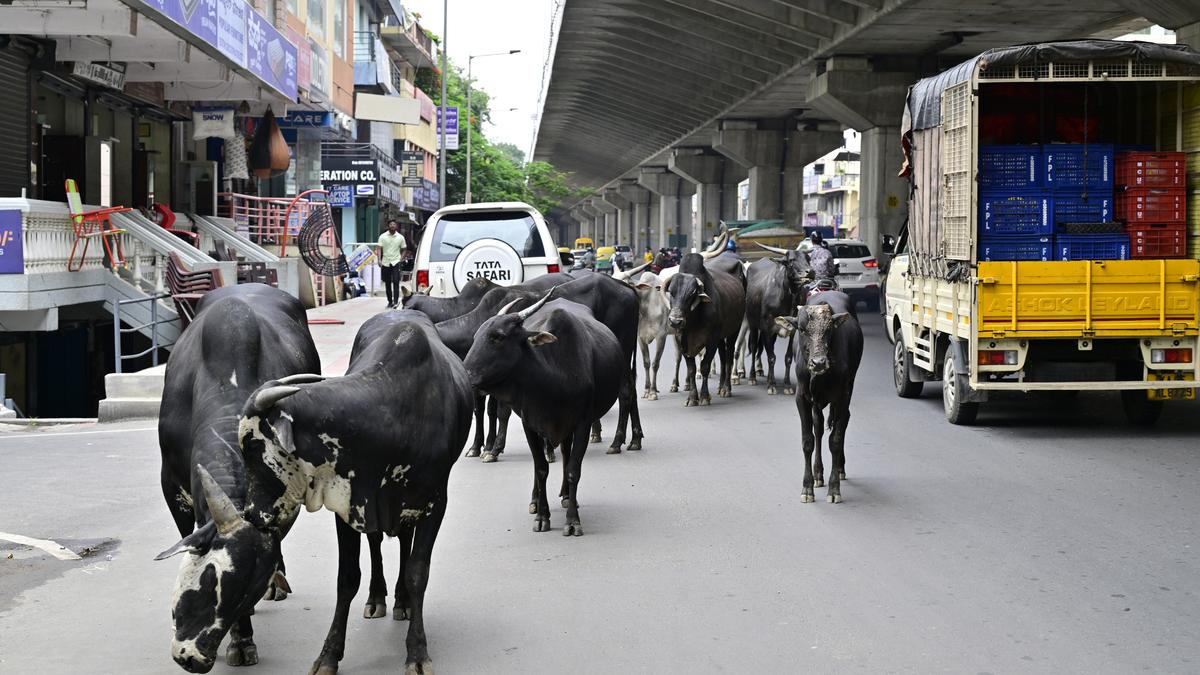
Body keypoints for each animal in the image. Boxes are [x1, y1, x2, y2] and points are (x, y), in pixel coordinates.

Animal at [463, 291, 624, 533]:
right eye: (475, 337)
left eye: (498, 337)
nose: (466, 375)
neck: (554, 379)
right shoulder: (530, 423)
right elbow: (540, 469)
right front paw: (542, 516)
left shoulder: (582, 423)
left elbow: (573, 469)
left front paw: (572, 520)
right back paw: (535, 500)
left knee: (566, 454)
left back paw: (567, 496)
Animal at [662, 251, 744, 403]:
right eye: (671, 291)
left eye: (692, 293)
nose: (675, 321)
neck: (693, 320)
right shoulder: (682, 341)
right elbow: (692, 369)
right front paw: (692, 397)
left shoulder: (711, 340)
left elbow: (705, 366)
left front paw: (704, 396)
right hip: (720, 337)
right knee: (723, 357)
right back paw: (720, 386)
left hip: (734, 330)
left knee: (729, 356)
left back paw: (726, 388)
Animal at [744, 243, 811, 393]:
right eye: (791, 260)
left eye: (808, 258)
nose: (810, 272)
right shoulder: (767, 327)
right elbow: (771, 357)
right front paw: (771, 385)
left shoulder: (793, 330)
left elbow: (787, 358)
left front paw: (787, 385)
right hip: (753, 324)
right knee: (754, 347)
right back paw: (752, 377)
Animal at [777, 291, 864, 502]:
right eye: (801, 329)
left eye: (829, 329)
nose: (818, 362)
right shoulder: (802, 398)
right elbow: (808, 440)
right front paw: (807, 487)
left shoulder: (842, 396)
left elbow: (836, 440)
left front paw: (834, 489)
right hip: (816, 402)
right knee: (818, 427)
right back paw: (818, 474)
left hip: (847, 388)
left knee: (843, 421)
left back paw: (839, 468)